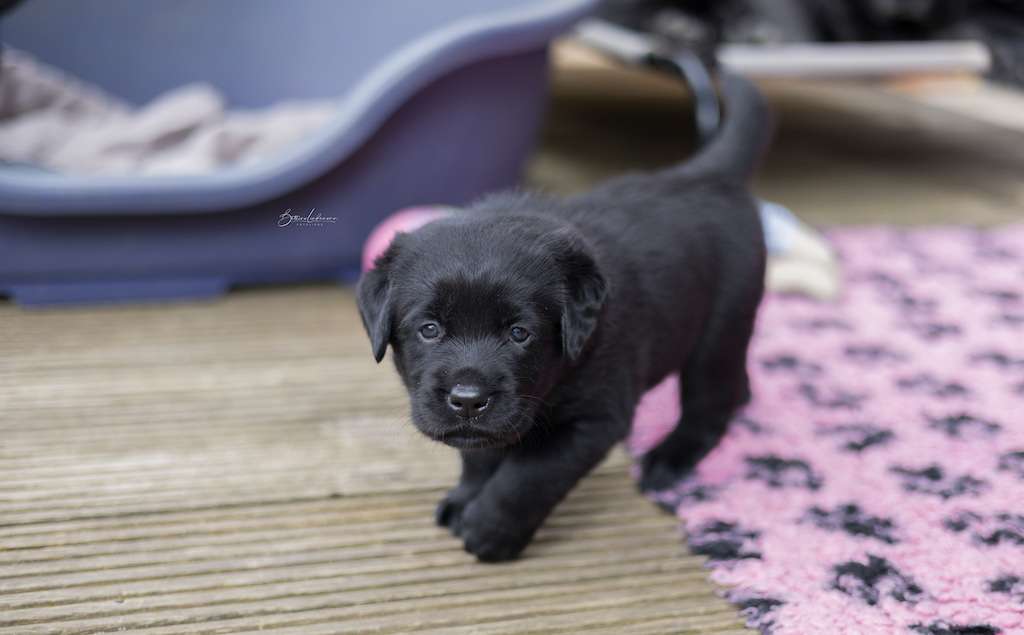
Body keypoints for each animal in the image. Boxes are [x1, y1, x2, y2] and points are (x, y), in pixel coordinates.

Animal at [357, 73, 770, 562]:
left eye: (520, 334)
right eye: (429, 330)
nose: (468, 399)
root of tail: (709, 175)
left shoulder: (594, 419)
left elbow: (528, 477)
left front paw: (490, 530)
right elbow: (478, 453)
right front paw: (465, 498)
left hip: (721, 325)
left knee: (710, 401)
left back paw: (670, 458)